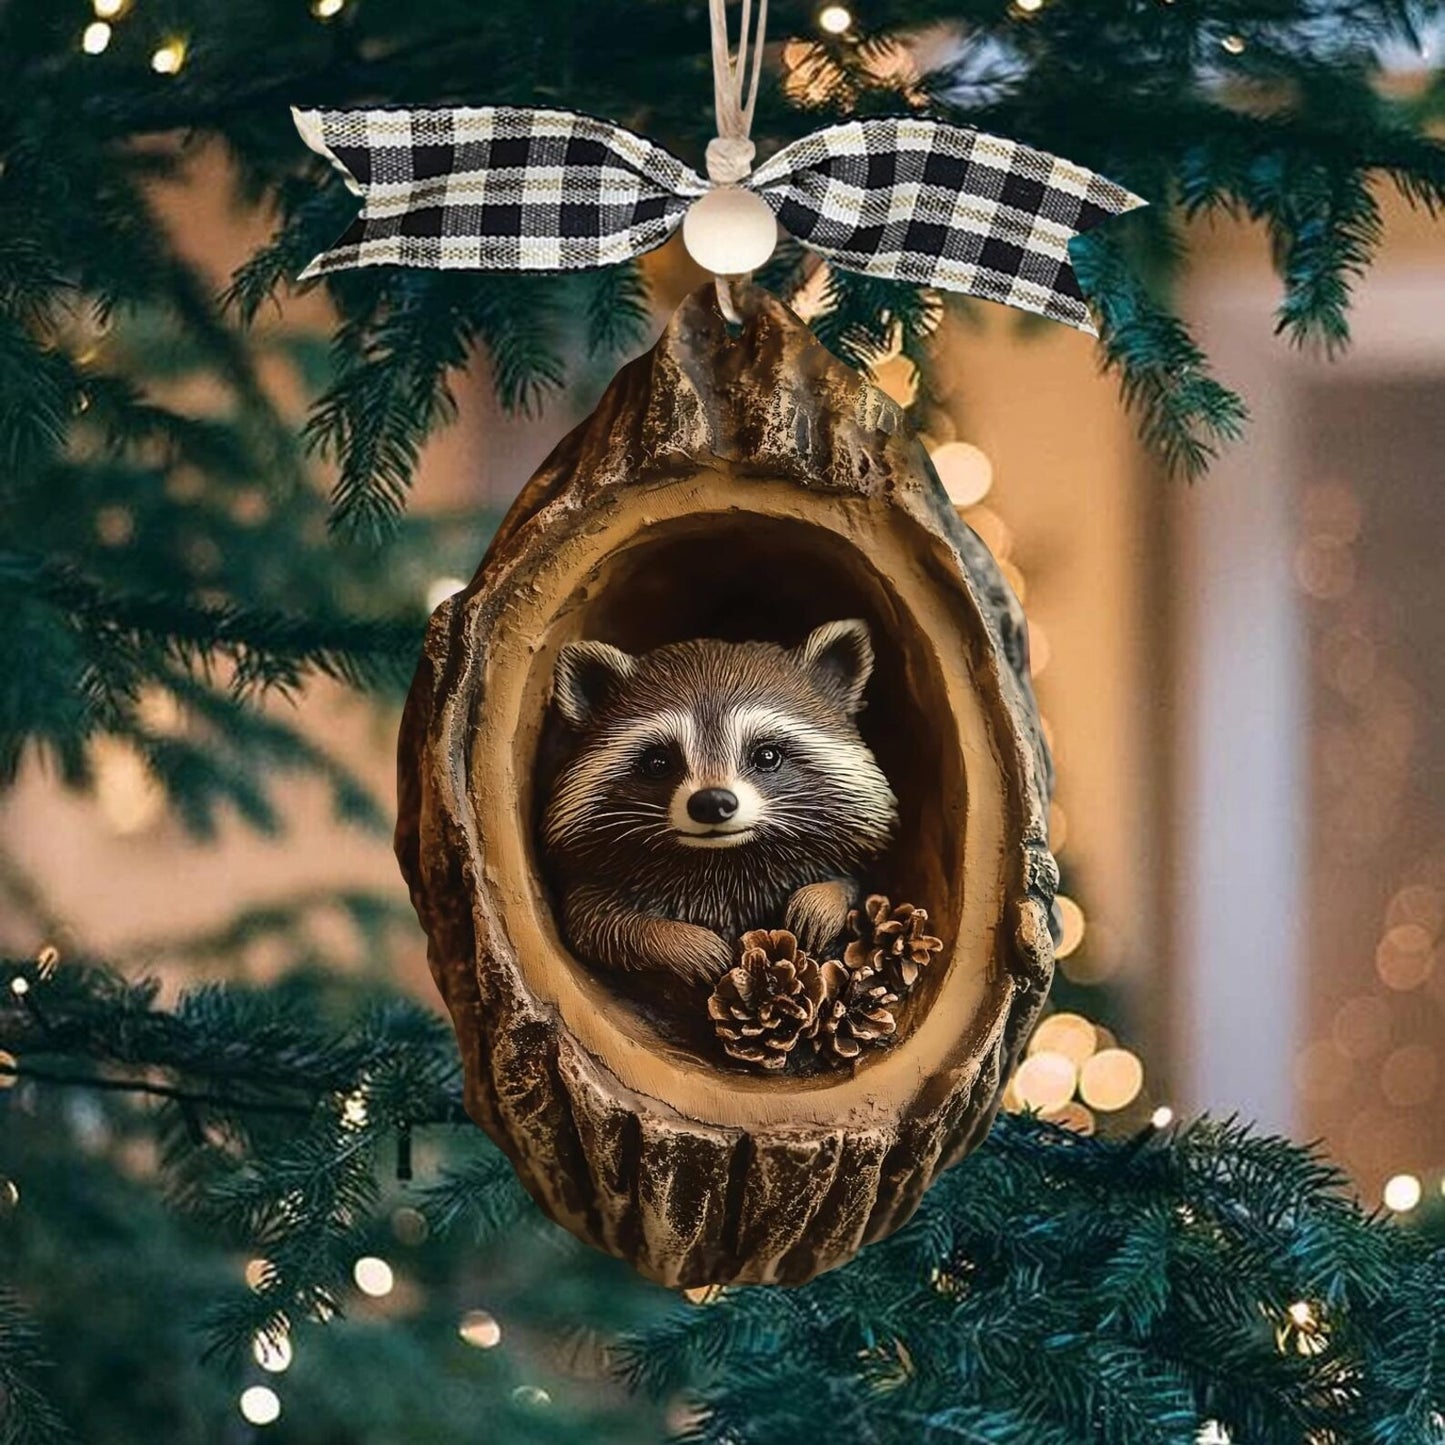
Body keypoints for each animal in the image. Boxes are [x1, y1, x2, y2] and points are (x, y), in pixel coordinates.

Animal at [542, 619, 899, 987]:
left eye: (766, 755)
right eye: (658, 762)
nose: (712, 802)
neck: (723, 861)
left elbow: (855, 884)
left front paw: (821, 900)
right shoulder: (592, 882)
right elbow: (597, 925)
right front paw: (680, 942)